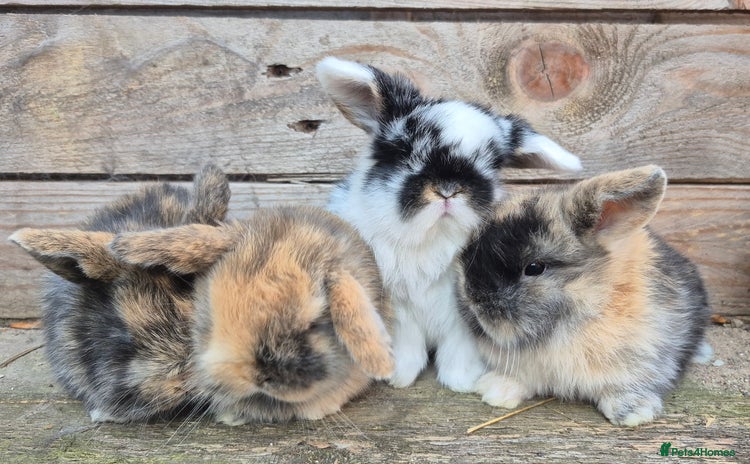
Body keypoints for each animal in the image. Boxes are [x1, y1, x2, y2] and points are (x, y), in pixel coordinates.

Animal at [315, 56, 582, 393]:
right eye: (405, 151)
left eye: (491, 163)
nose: (448, 189)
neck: (433, 236)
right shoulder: (399, 309)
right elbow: (408, 344)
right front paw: (399, 377)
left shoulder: (464, 316)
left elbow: (459, 349)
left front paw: (462, 382)